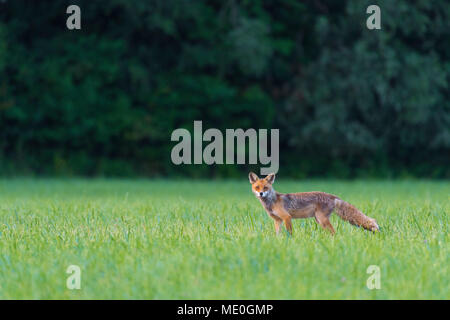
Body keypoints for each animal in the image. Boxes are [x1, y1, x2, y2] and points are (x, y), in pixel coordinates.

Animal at [250, 172, 380, 235]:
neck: (272, 201)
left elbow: (289, 233)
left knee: (334, 232)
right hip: (319, 220)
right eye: (257, 187)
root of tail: (332, 196)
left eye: (265, 187)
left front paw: (290, 242)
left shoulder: (287, 217)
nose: (261, 193)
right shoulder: (278, 220)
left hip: (321, 219)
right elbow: (278, 235)